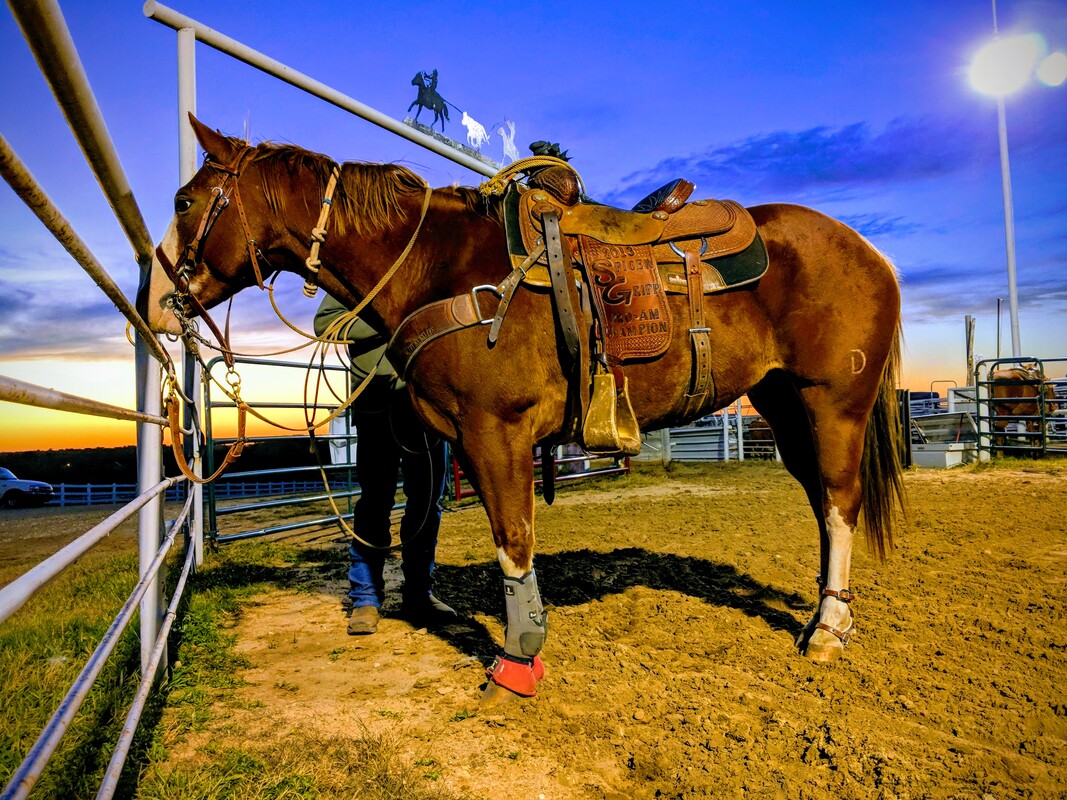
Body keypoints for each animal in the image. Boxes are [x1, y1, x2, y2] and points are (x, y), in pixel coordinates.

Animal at [141, 117, 904, 699]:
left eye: (183, 202)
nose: (154, 304)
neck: (438, 266)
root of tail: (869, 252)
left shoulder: (494, 431)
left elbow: (513, 539)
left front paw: (517, 657)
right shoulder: (455, 438)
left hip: (832, 404)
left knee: (840, 503)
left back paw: (828, 631)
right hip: (783, 405)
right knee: (822, 504)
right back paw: (822, 614)